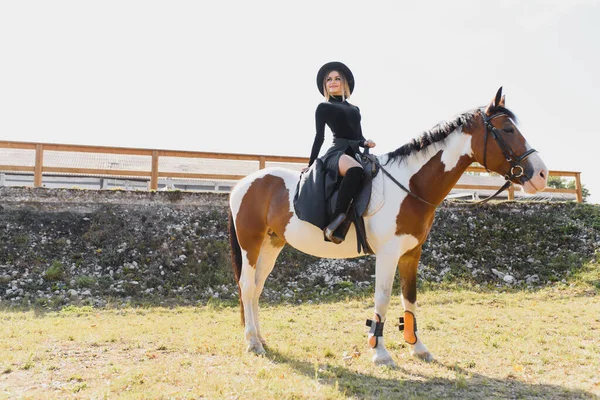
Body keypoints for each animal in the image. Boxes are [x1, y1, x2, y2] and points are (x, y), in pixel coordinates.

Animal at [227, 87, 548, 366]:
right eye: (508, 130)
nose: (542, 174)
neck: (410, 184)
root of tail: (242, 185)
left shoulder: (411, 254)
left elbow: (410, 298)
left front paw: (417, 347)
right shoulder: (387, 254)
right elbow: (382, 300)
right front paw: (380, 353)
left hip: (272, 244)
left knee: (256, 289)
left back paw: (260, 339)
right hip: (250, 244)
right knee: (247, 285)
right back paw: (252, 342)